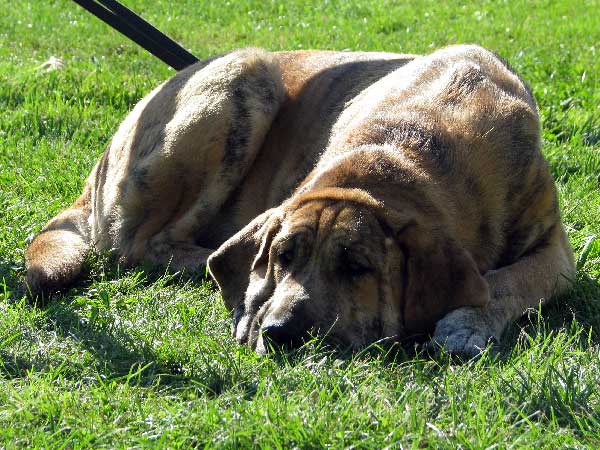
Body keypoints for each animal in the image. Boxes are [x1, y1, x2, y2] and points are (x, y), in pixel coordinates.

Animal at [24, 44, 576, 356]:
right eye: (282, 257)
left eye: (358, 268)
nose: (281, 331)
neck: (412, 143)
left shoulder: (556, 251)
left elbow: (509, 282)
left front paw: (468, 321)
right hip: (246, 77)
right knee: (139, 245)